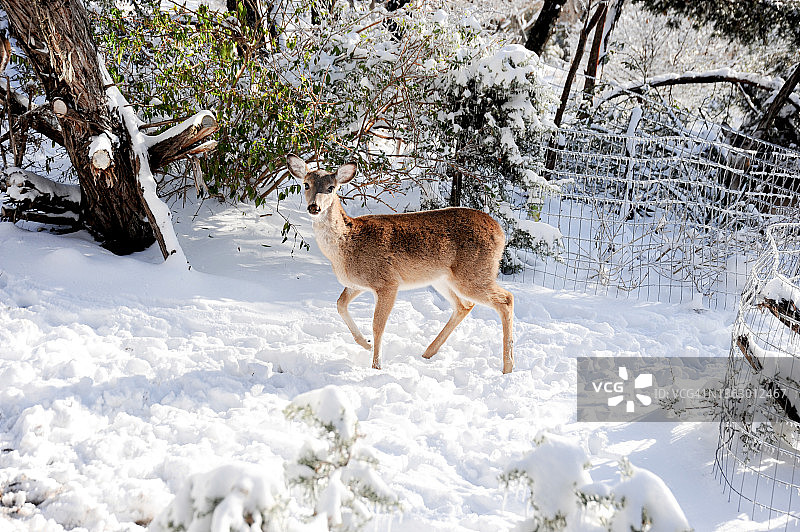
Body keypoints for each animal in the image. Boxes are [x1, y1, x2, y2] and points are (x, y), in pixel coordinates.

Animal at [286, 154, 514, 374]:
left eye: (331, 187)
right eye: (306, 184)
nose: (314, 207)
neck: (347, 244)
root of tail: (501, 232)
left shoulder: (387, 281)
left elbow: (377, 324)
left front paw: (376, 366)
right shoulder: (356, 284)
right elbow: (340, 304)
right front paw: (366, 344)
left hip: (474, 272)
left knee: (506, 299)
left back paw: (508, 367)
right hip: (443, 279)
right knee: (464, 305)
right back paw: (428, 353)